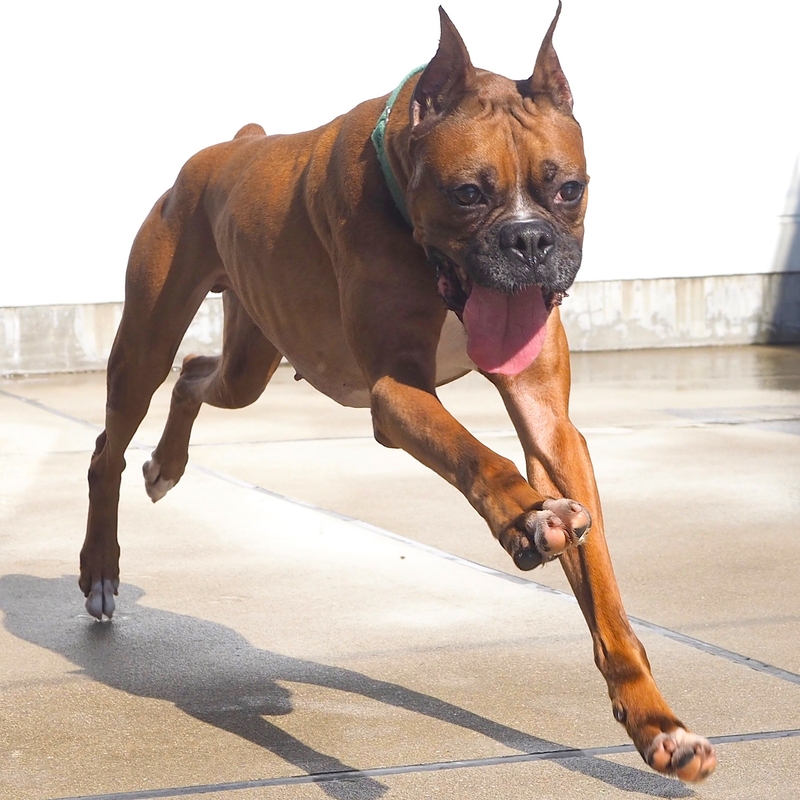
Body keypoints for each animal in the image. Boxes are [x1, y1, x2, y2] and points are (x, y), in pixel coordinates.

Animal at [81, 3, 716, 784]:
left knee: (197, 373)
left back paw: (166, 466)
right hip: (144, 344)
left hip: (249, 362)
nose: (529, 241)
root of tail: (236, 145)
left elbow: (604, 597)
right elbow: (477, 456)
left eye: (569, 188)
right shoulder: (395, 393)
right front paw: (529, 518)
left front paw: (657, 723)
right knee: (110, 444)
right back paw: (101, 568)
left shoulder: (552, 427)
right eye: (468, 193)